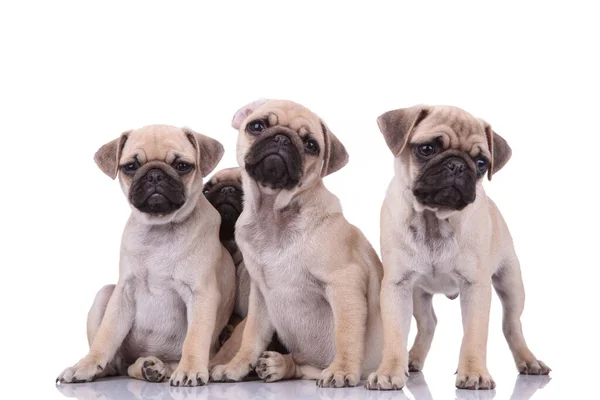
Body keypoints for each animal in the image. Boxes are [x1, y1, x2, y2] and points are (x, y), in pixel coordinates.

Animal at [55, 126, 234, 388]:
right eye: (130, 166)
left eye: (182, 166)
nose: (155, 175)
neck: (160, 229)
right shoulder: (123, 293)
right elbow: (105, 336)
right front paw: (86, 365)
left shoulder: (202, 294)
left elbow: (195, 337)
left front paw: (190, 369)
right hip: (105, 295)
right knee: (118, 364)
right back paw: (121, 368)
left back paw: (156, 367)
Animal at [209, 99, 382, 388]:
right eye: (257, 126)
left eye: (311, 145)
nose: (282, 137)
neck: (273, 214)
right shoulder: (261, 296)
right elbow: (251, 337)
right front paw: (235, 367)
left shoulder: (345, 282)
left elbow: (346, 333)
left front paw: (343, 369)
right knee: (302, 368)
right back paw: (278, 365)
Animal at [366, 105, 548, 390]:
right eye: (427, 149)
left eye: (481, 163)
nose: (457, 165)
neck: (434, 220)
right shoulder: (398, 285)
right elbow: (395, 333)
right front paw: (389, 371)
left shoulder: (476, 287)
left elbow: (474, 334)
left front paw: (474, 372)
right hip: (418, 294)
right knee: (428, 323)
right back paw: (412, 359)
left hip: (511, 283)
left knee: (511, 324)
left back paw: (529, 361)